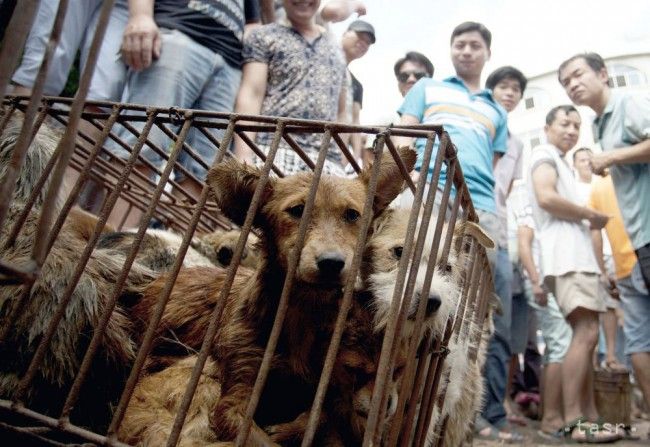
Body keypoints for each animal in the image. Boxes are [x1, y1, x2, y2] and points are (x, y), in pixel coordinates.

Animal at [125, 149, 416, 446]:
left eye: (352, 215)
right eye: (297, 211)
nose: (332, 263)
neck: (302, 313)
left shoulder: (324, 384)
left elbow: (320, 416)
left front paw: (289, 428)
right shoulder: (235, 400)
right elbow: (263, 439)